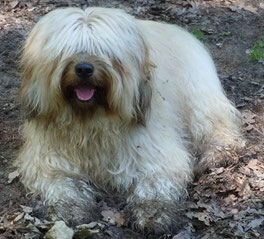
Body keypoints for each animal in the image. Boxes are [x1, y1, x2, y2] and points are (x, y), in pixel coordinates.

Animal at [17, 7, 241, 233]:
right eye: (66, 50)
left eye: (104, 51)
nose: (84, 69)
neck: (92, 121)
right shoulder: (47, 160)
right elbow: (59, 182)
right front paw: (70, 207)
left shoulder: (155, 153)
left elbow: (155, 183)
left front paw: (153, 212)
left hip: (199, 96)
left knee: (216, 124)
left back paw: (217, 153)